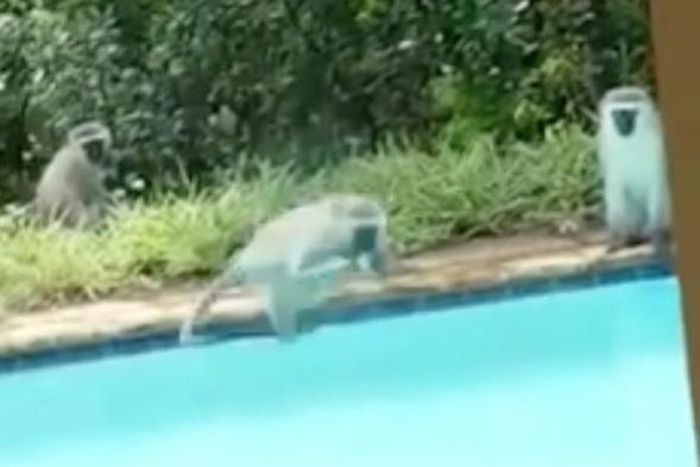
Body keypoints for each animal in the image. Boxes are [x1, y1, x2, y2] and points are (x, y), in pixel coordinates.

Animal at [178, 193, 393, 345]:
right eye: (363, 231)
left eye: (372, 230)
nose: (368, 247)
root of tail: (243, 259)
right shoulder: (325, 239)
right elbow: (302, 268)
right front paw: (345, 263)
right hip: (262, 272)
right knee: (282, 287)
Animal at [596, 86, 673, 259]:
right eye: (617, 113)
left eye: (630, 113)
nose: (623, 124)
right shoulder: (604, 144)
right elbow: (614, 186)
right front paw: (616, 239)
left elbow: (657, 183)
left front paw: (657, 238)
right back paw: (631, 238)